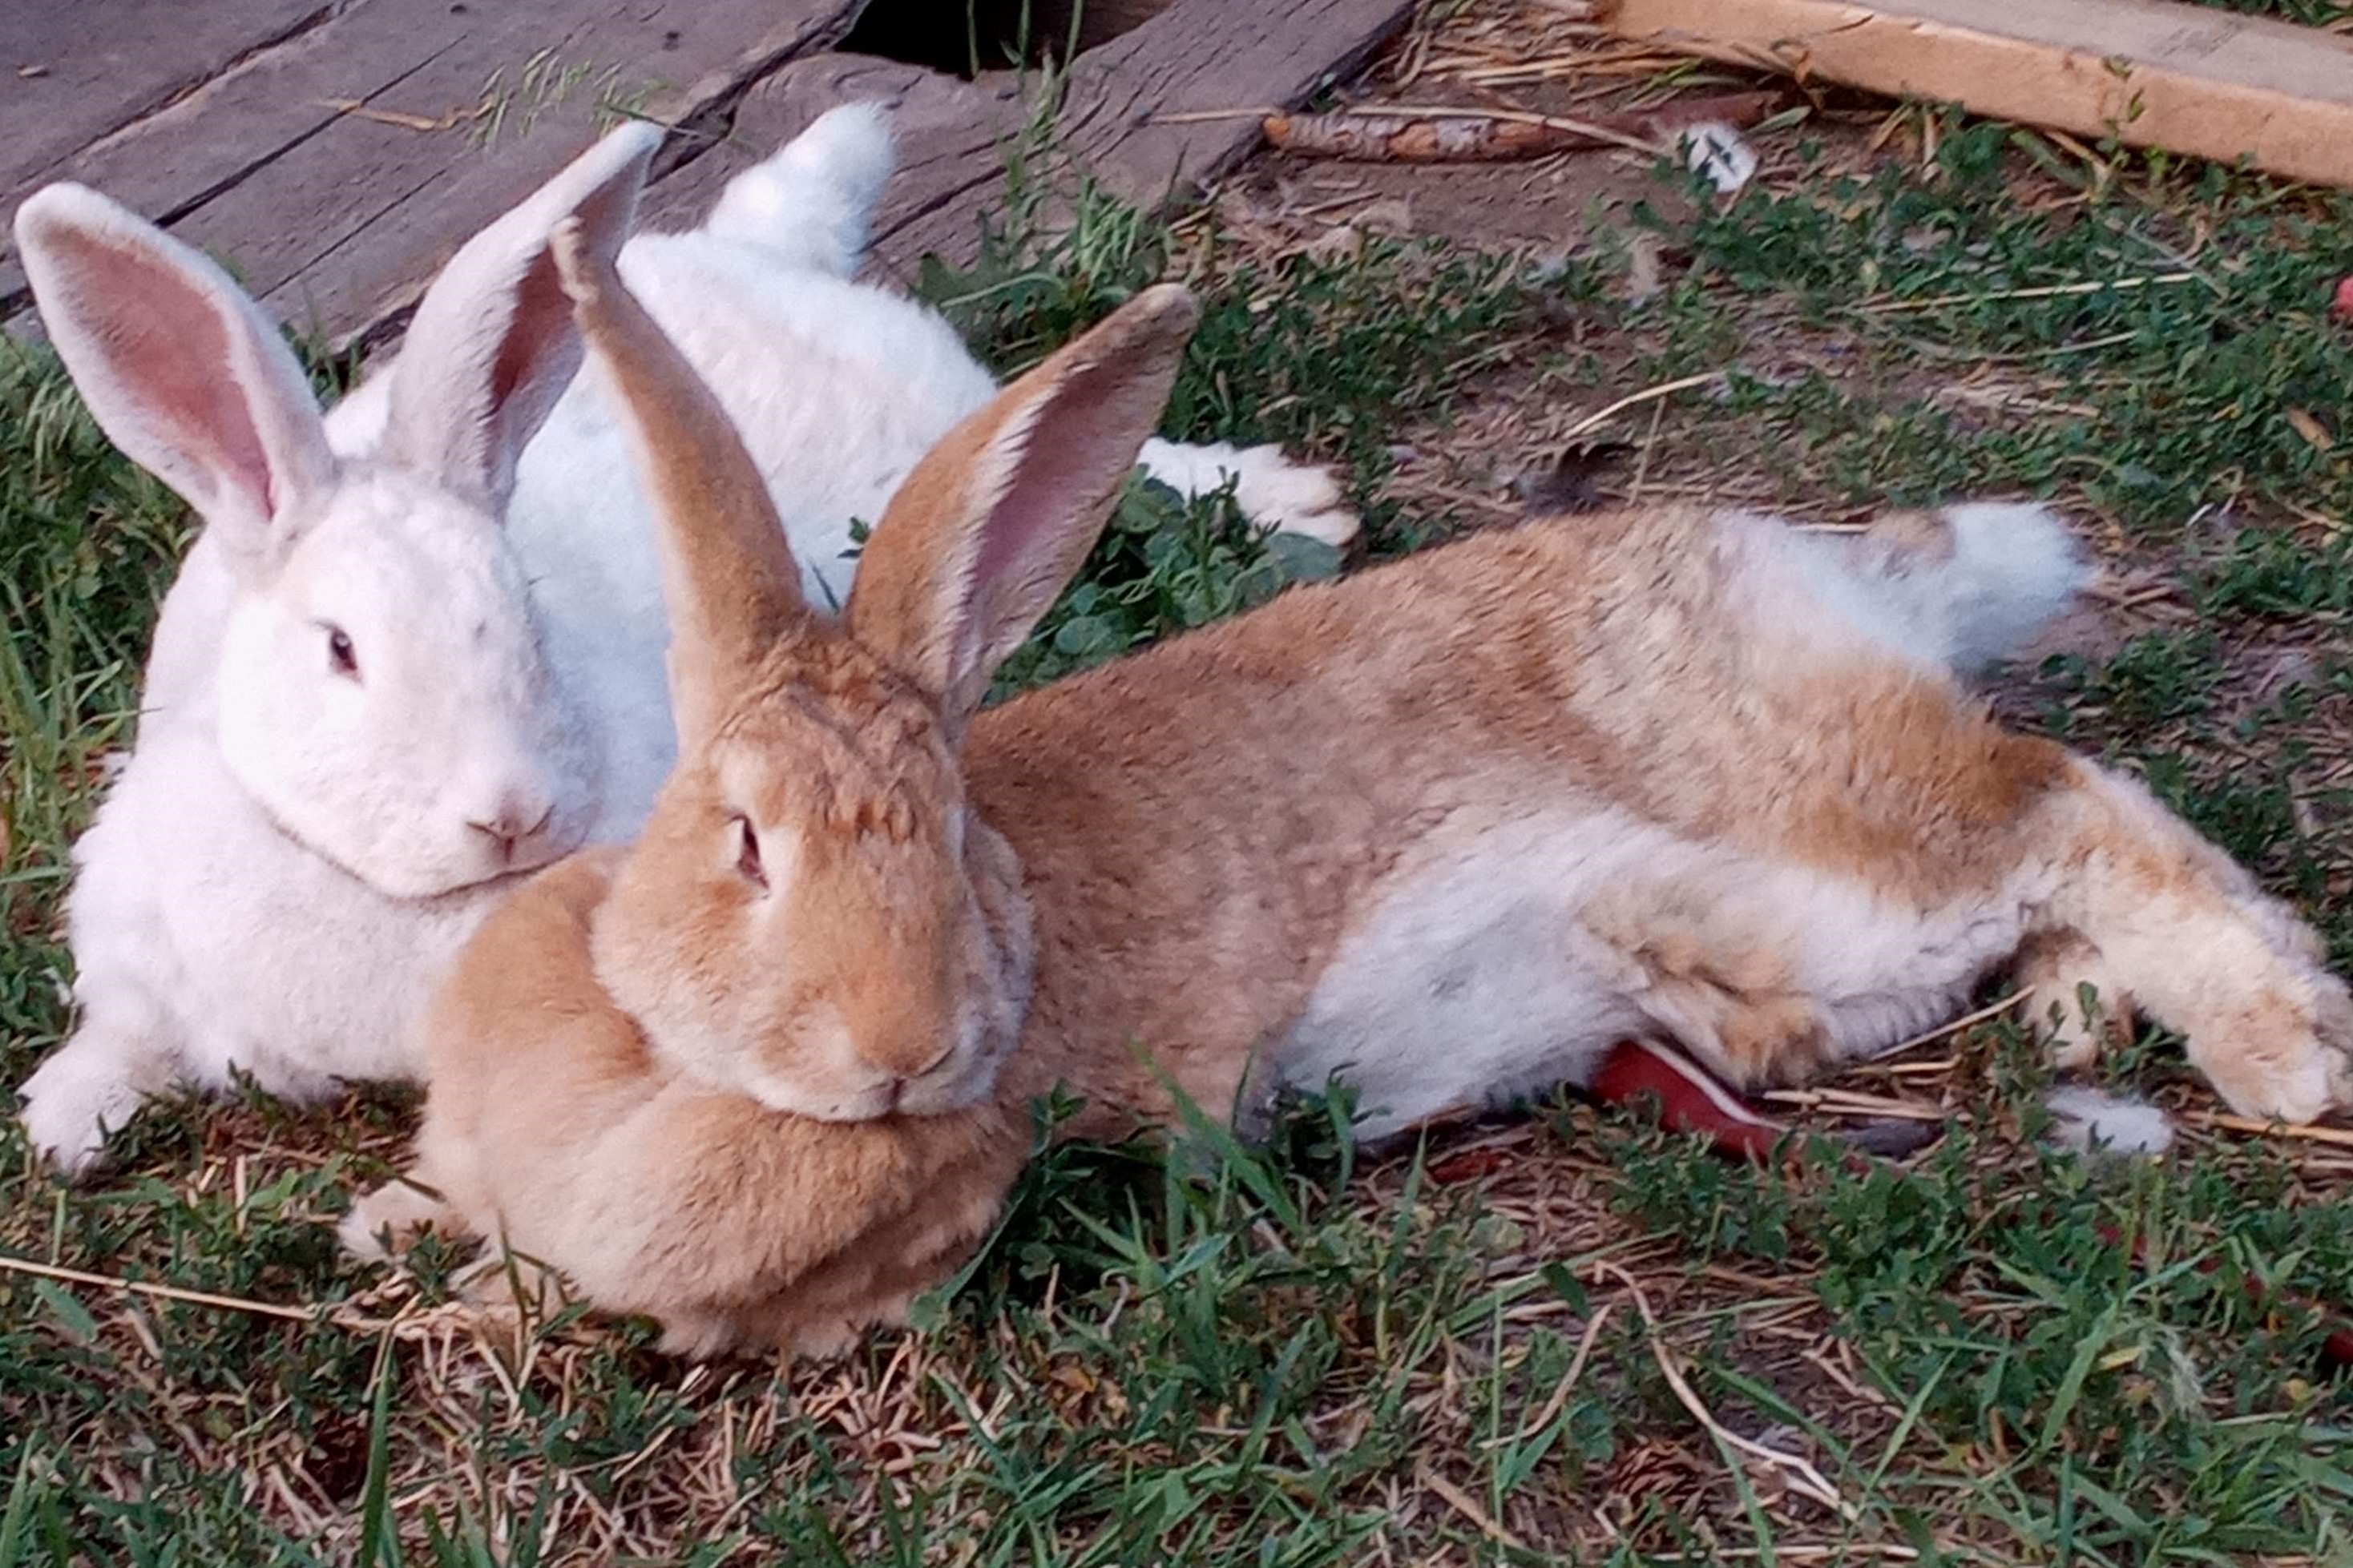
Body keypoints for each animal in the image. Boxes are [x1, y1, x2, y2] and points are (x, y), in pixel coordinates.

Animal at [9, 101, 1364, 1175]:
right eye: (340, 647)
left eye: (526, 608)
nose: (512, 814)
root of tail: (752, 247)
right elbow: (116, 1037)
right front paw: (61, 1127)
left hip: (941, 426)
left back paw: (1295, 499)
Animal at [348, 223, 2353, 1363]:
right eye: (744, 841)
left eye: (952, 833)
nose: (905, 1052)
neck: (652, 1043)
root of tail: (1818, 569)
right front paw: (403, 1231)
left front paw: (456, 1300)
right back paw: (2079, 1013)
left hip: (1834, 829)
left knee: (2075, 806)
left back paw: (2283, 1053)